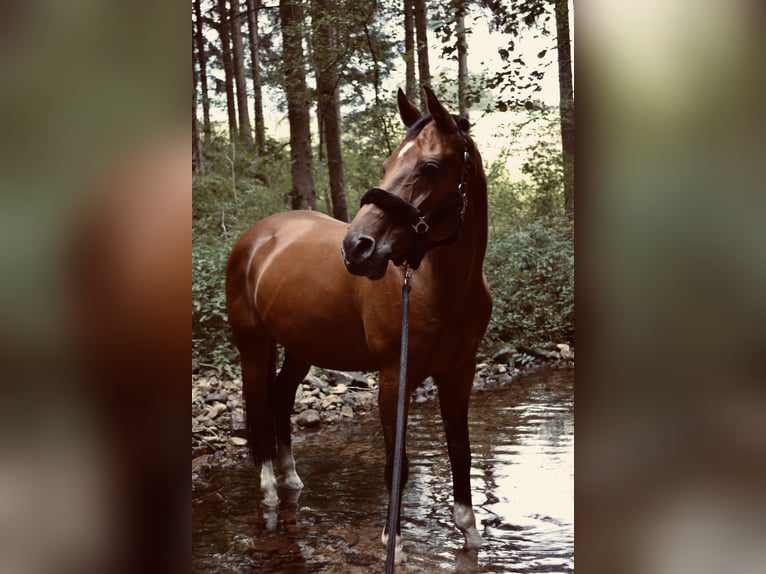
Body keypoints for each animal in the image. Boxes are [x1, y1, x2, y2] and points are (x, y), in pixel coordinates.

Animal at [226, 88, 492, 556]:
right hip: (253, 346)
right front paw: (393, 541)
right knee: (258, 404)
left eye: (429, 167)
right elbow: (396, 463)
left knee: (280, 397)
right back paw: (270, 490)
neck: (439, 287)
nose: (356, 248)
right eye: (387, 165)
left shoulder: (460, 373)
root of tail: (255, 237)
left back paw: (291, 478)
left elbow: (460, 450)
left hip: (300, 347)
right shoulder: (394, 378)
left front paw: (469, 532)